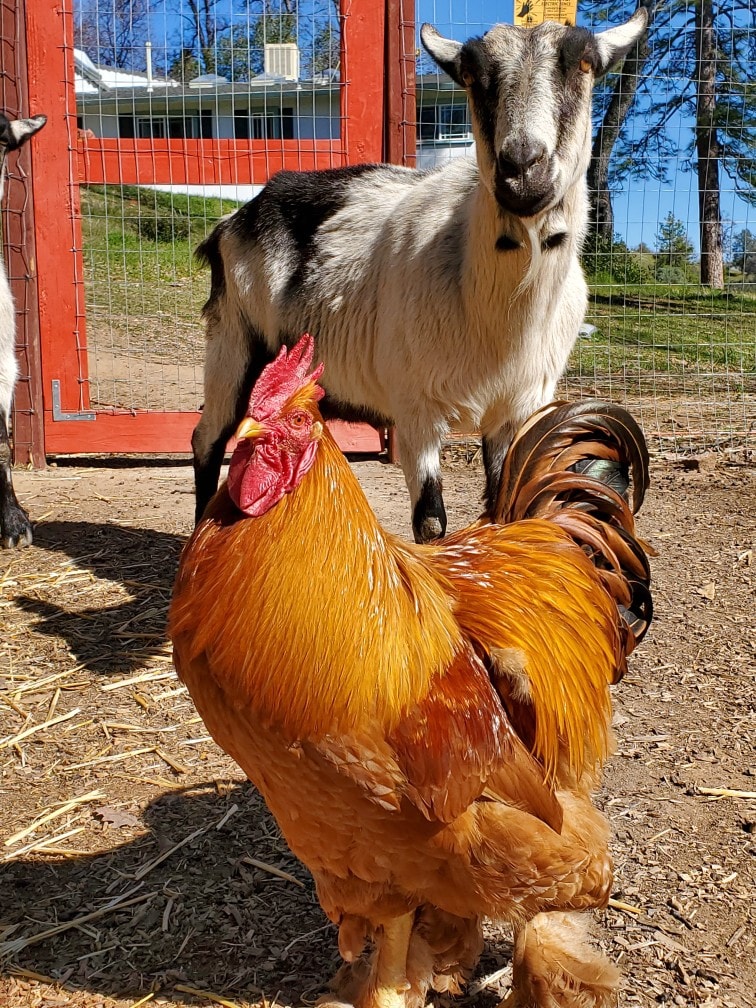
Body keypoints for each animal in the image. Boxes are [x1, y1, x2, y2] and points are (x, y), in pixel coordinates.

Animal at [192, 9, 649, 544]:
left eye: (585, 64)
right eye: (470, 75)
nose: (522, 168)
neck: (498, 316)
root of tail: (234, 219)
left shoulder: (517, 408)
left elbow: (506, 505)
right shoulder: (416, 410)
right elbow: (431, 521)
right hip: (232, 340)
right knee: (208, 436)